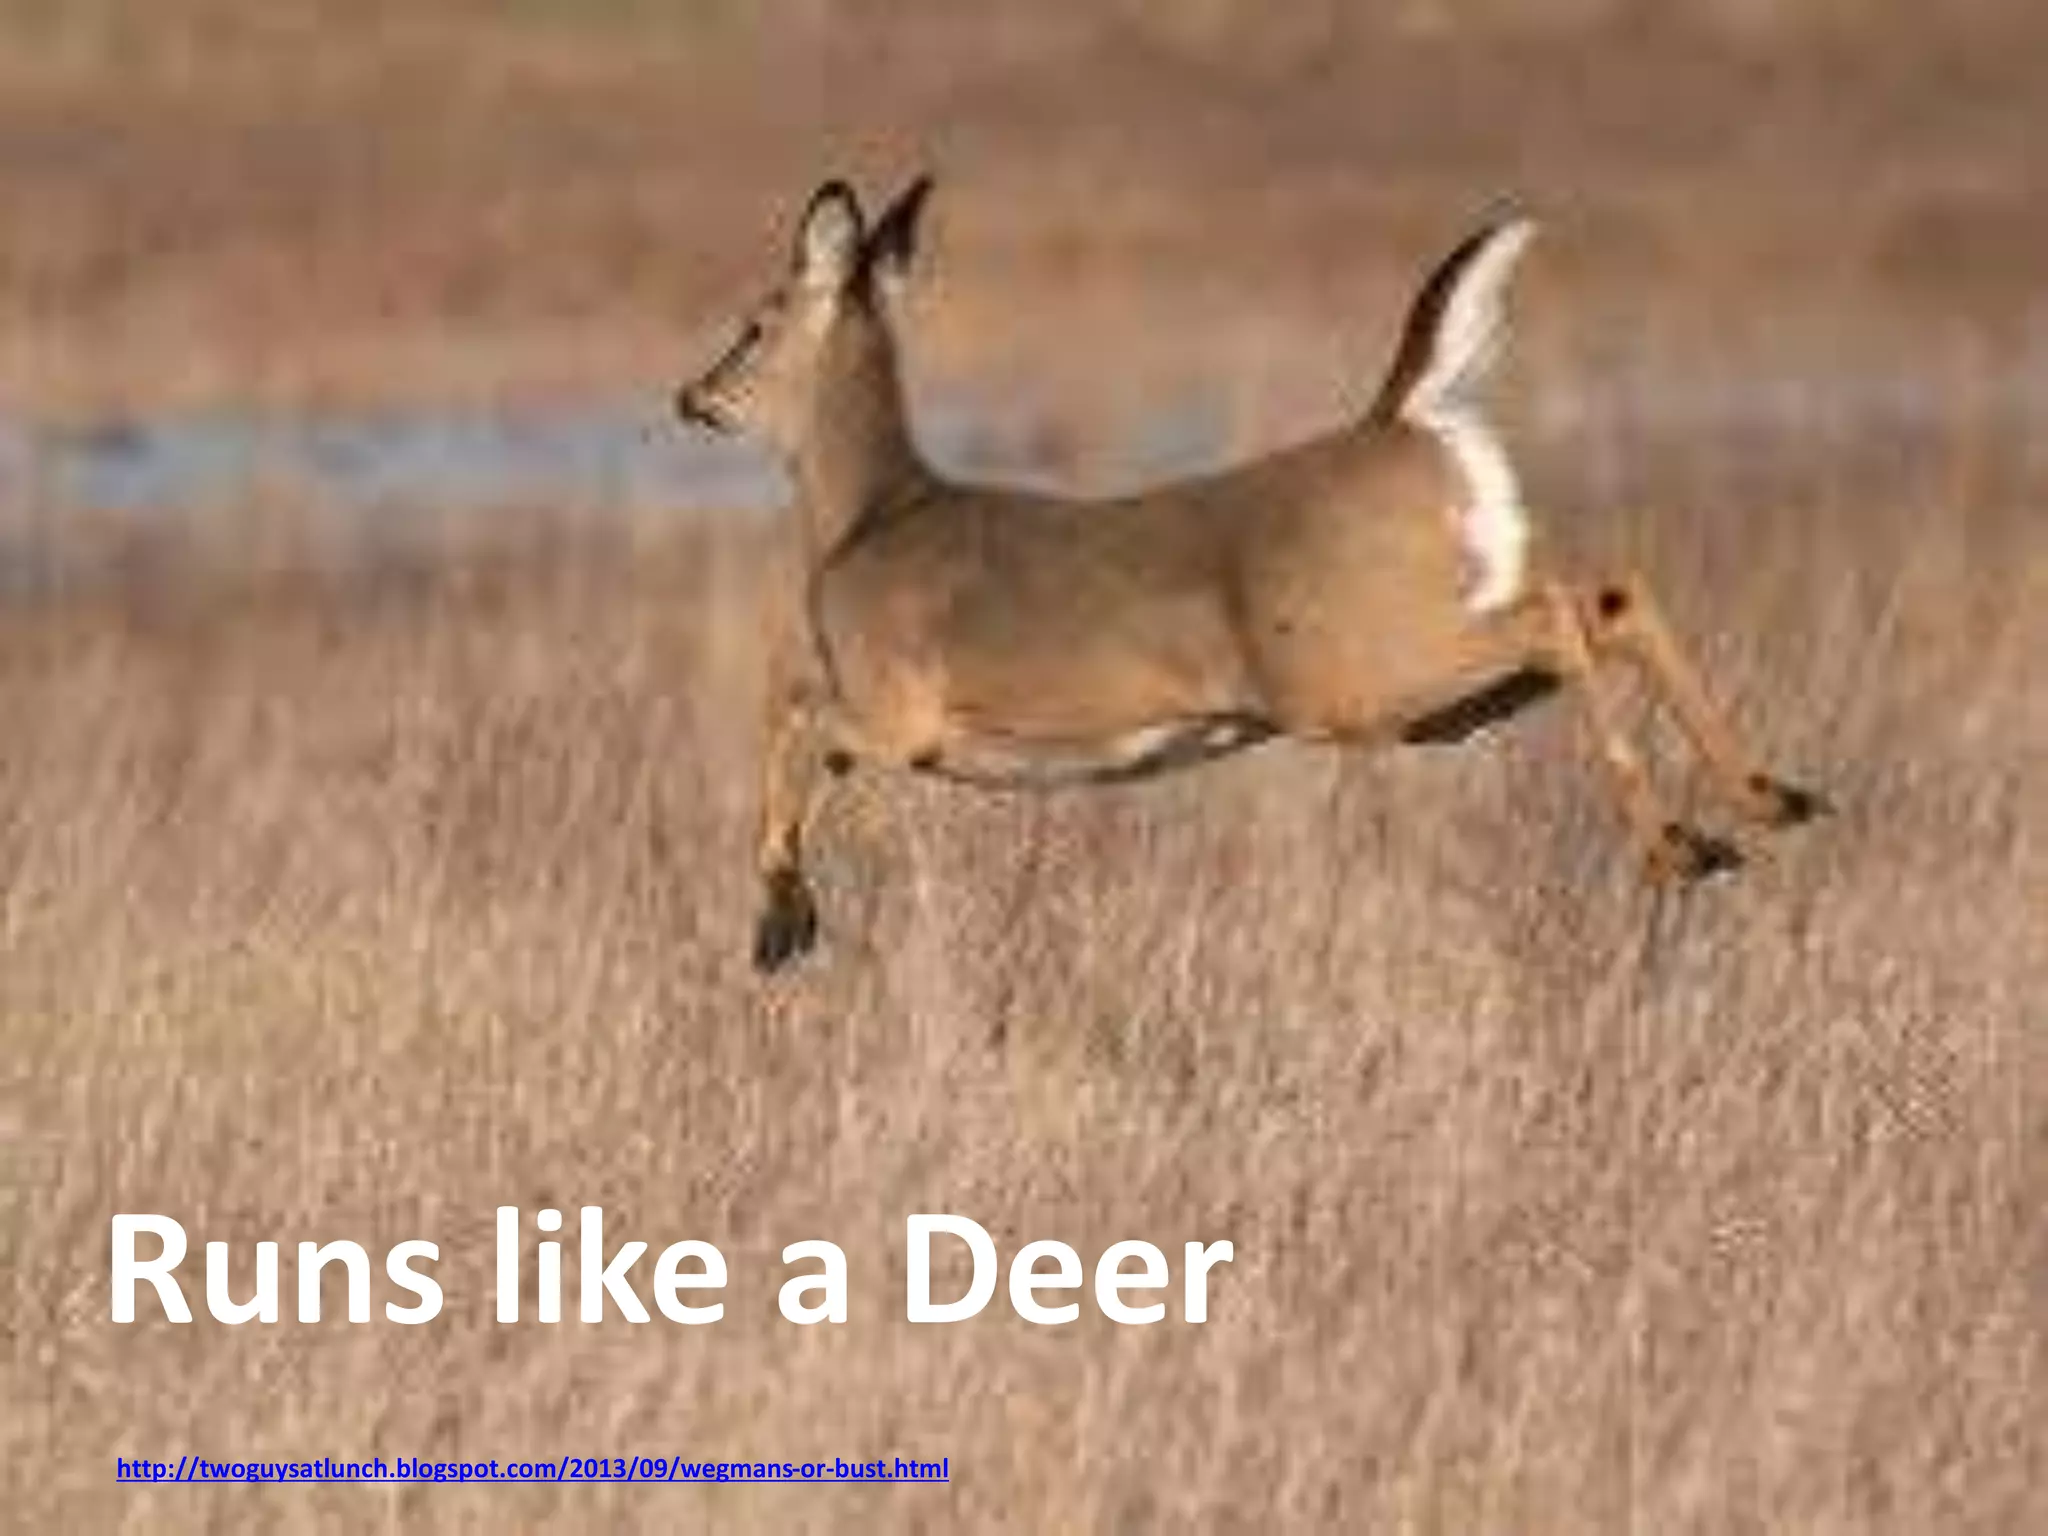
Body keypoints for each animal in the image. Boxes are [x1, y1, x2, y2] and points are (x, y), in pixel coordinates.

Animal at [674, 176, 1826, 974]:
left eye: (753, 323)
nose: (693, 398)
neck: (866, 523)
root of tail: (1404, 420)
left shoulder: (900, 712)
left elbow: (788, 710)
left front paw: (780, 918)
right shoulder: (888, 721)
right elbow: (794, 720)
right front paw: (786, 916)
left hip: (1360, 678)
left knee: (1560, 609)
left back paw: (1679, 850)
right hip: (1437, 696)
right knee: (1608, 595)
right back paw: (1767, 804)